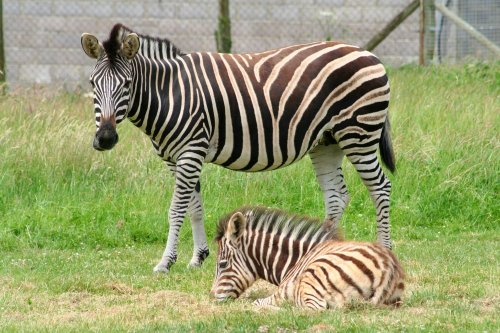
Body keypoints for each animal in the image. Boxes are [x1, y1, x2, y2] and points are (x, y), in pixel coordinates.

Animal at [212, 206, 406, 310]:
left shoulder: (282, 292)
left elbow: (257, 302)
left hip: (312, 278)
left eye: (222, 264)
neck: (295, 260)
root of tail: (388, 269)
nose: (212, 298)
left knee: (309, 311)